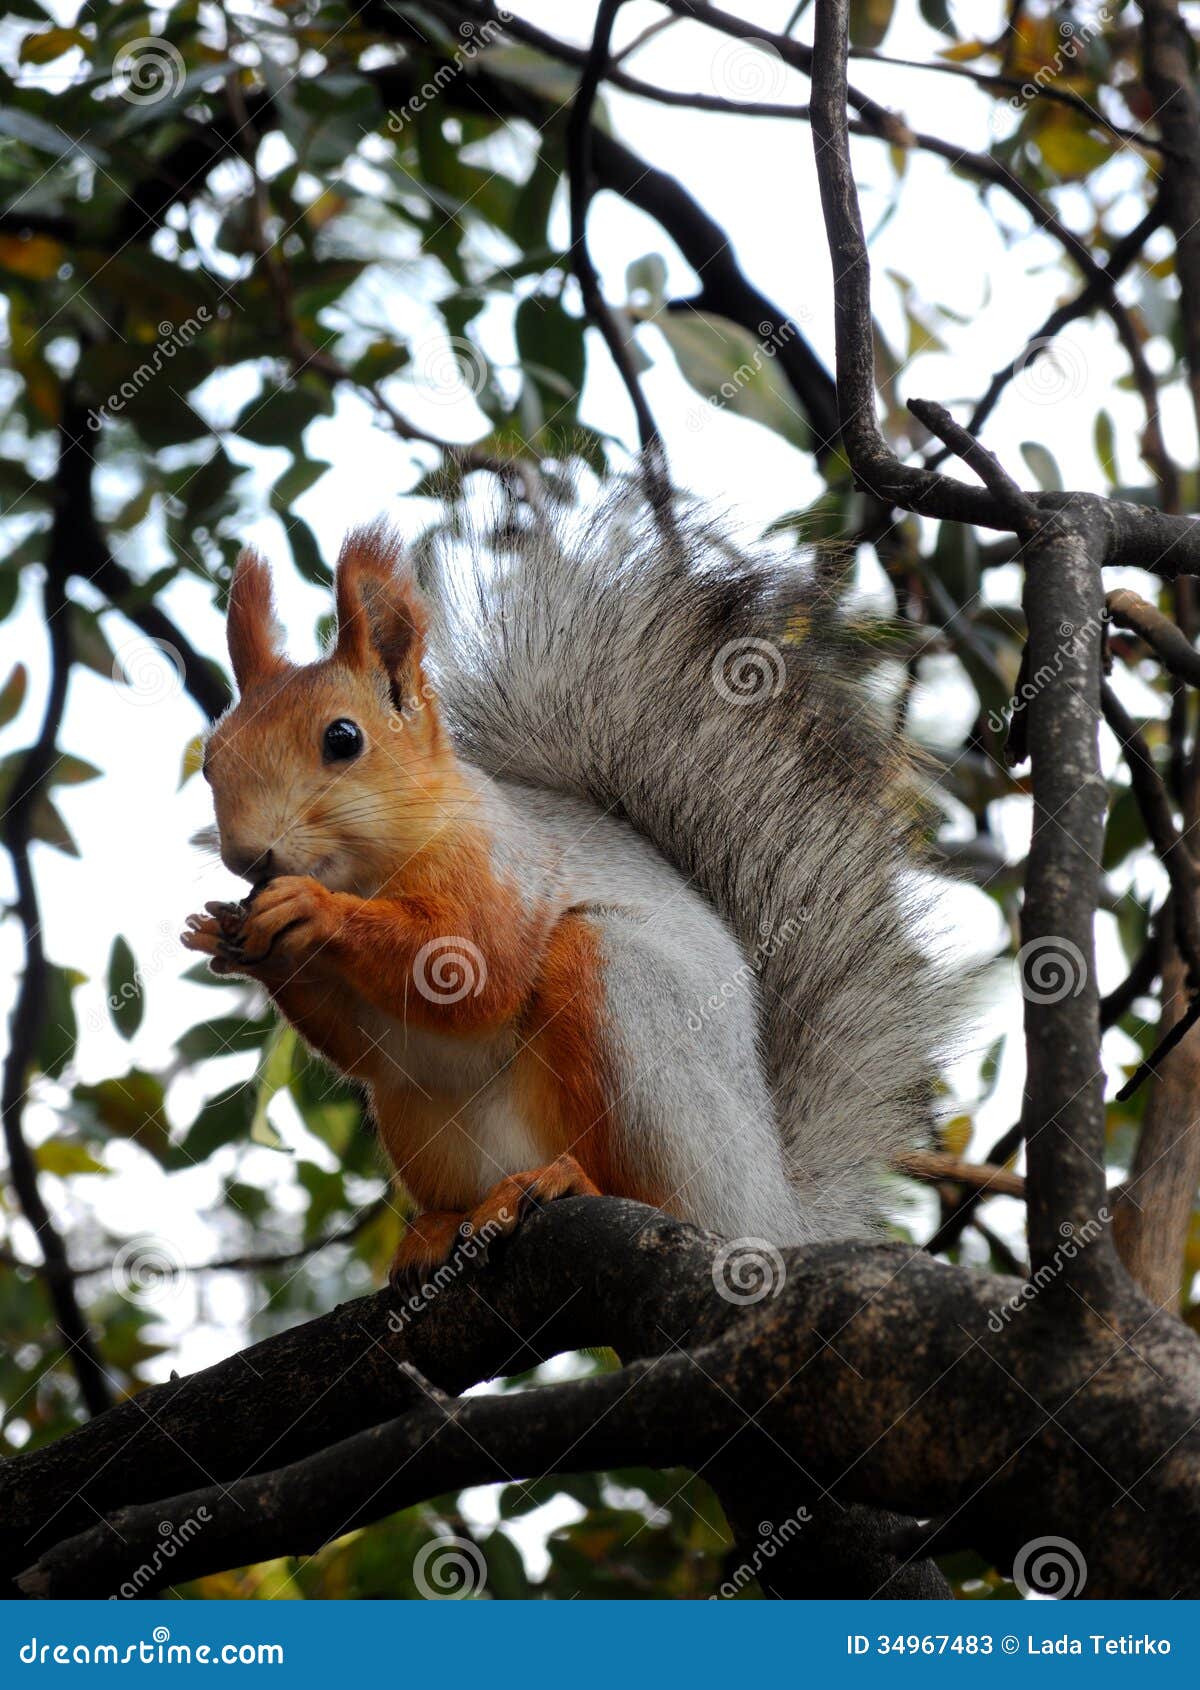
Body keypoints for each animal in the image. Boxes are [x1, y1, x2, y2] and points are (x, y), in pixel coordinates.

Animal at [182, 494, 942, 1282]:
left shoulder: (502, 869)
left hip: (633, 1016)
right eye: (210, 759)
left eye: (342, 739)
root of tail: (776, 1214)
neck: (373, 868)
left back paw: (568, 1180)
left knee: (657, 1188)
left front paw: (313, 910)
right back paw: (441, 1227)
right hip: (419, 1121)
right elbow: (364, 1050)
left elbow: (476, 971)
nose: (248, 856)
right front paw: (233, 937)